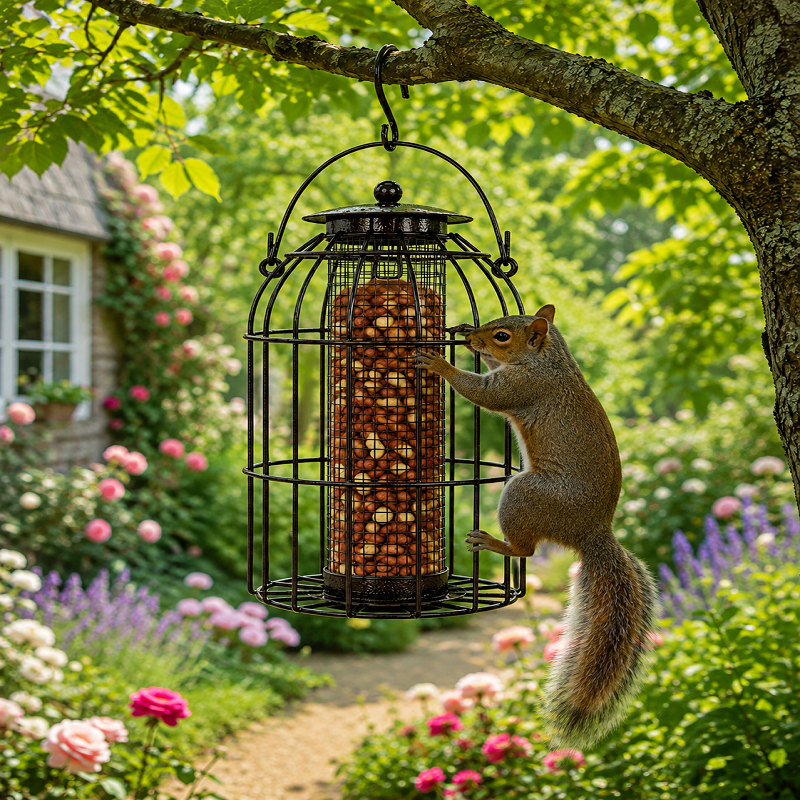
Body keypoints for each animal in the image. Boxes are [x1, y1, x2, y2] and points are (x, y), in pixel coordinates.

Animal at [416, 305, 658, 748]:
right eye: (493, 327)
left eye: (502, 337)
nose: (471, 338)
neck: (550, 361)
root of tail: (592, 533)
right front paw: (462, 330)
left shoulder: (524, 387)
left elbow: (485, 393)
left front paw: (441, 363)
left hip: (524, 496)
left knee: (526, 549)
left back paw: (493, 542)